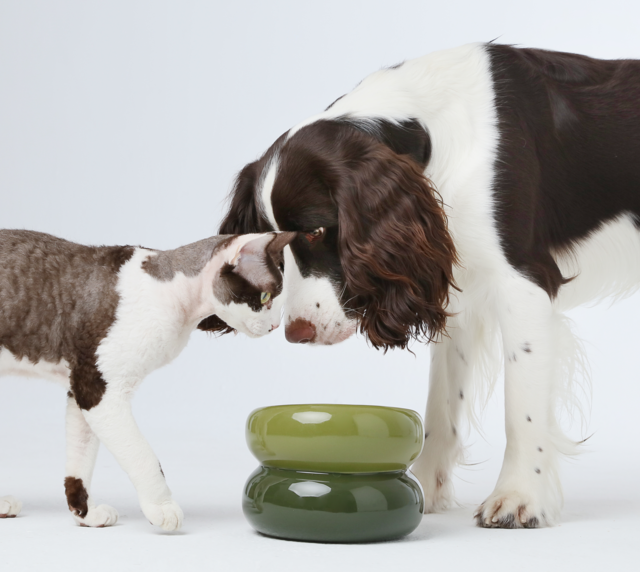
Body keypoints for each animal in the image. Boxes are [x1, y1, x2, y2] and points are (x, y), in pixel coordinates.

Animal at [0, 229, 296, 532]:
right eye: (265, 297)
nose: (274, 326)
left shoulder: (80, 386)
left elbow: (80, 459)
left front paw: (85, 514)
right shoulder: (98, 389)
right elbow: (143, 456)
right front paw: (161, 507)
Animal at [212, 42, 640, 528]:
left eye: (317, 232)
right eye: (269, 244)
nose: (296, 334)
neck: (431, 132)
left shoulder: (524, 281)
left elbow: (522, 408)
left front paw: (519, 497)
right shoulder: (454, 281)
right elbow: (442, 402)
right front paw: (425, 489)